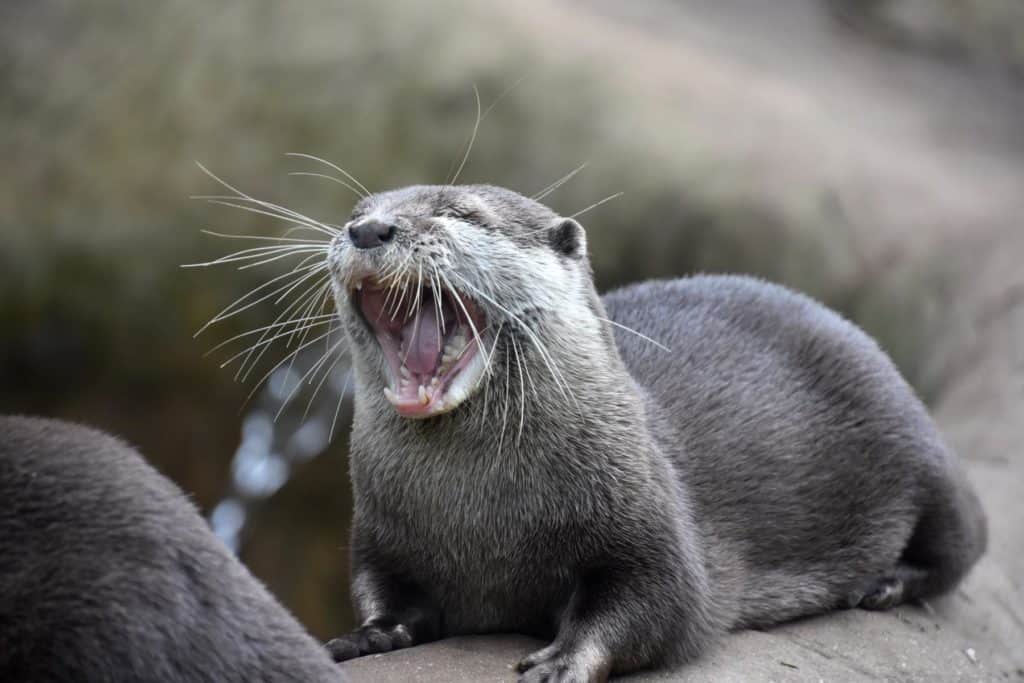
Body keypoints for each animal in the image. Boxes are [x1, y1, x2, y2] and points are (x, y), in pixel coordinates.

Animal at [323, 184, 987, 679]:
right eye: (355, 212)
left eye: (461, 213)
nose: (369, 230)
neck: (482, 523)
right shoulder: (379, 533)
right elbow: (382, 590)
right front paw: (367, 636)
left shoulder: (653, 523)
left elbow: (663, 604)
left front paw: (565, 659)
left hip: (918, 449)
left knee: (965, 545)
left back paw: (885, 583)